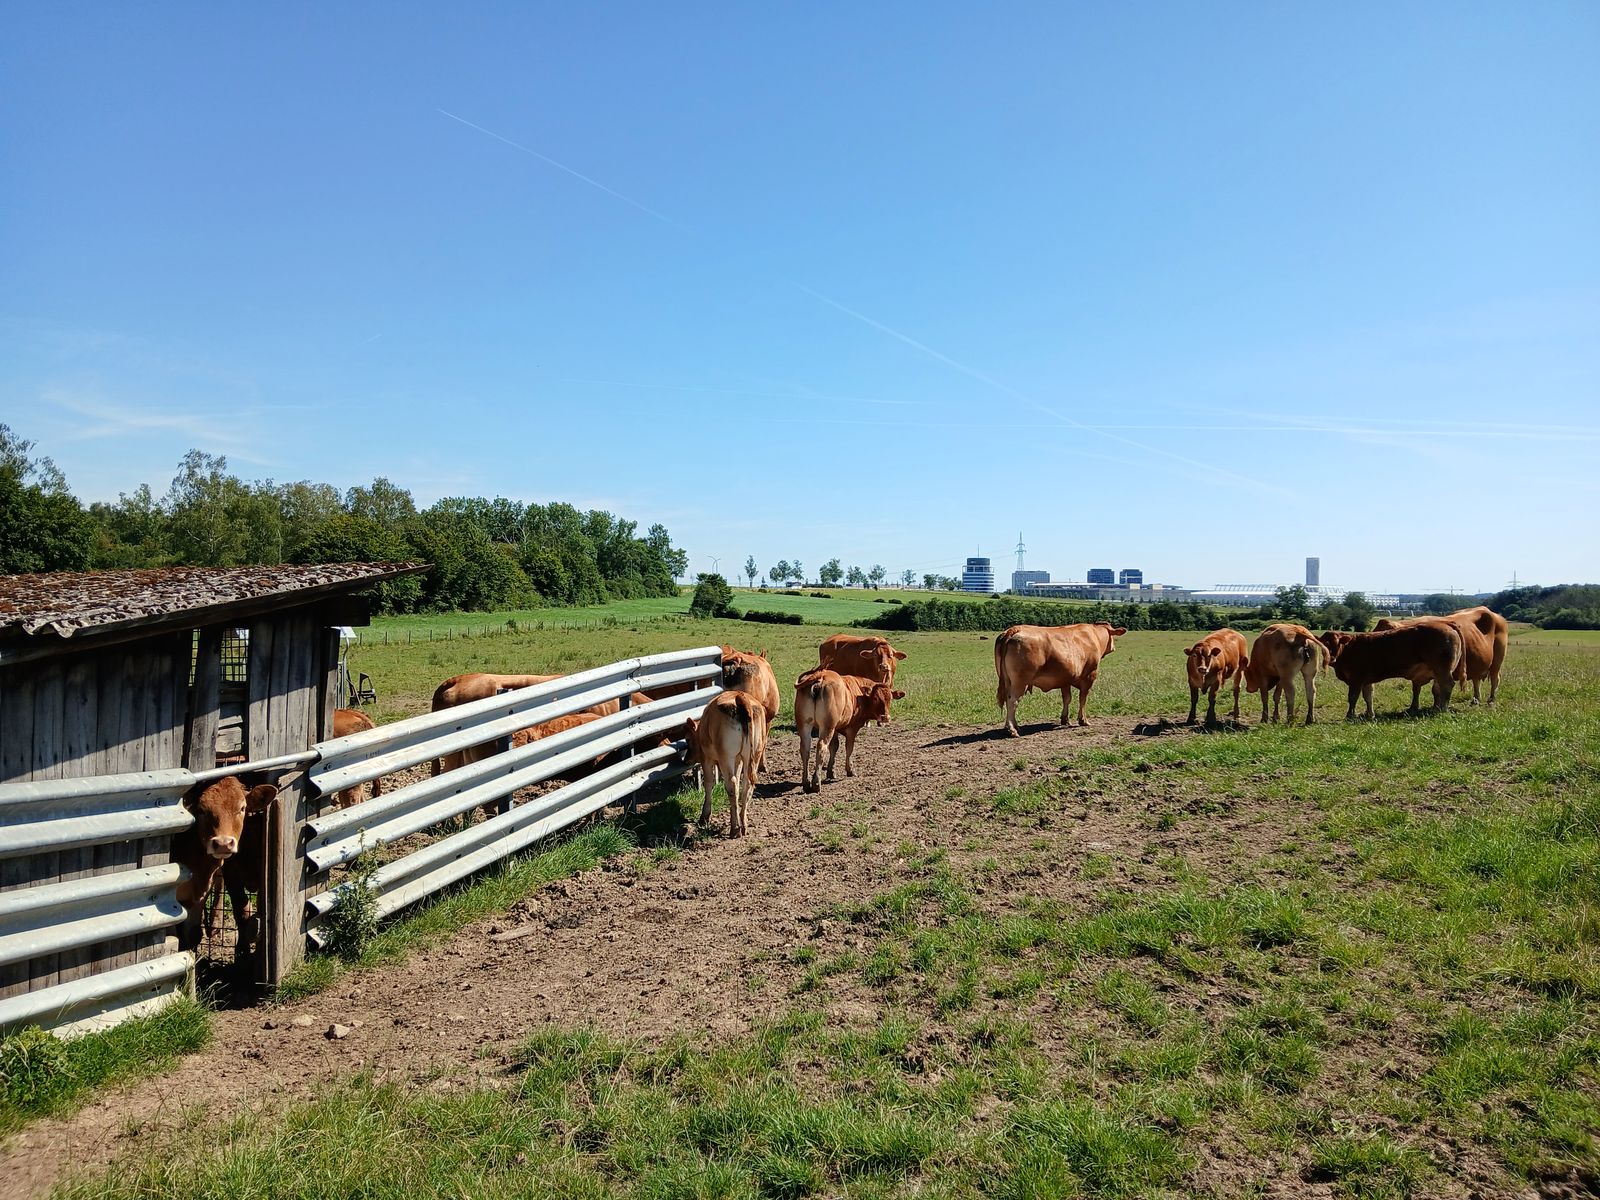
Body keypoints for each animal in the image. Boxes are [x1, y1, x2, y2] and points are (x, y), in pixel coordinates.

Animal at [681, 694, 768, 838]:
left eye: (688, 739)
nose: (685, 760)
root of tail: (740, 697)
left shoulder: (707, 759)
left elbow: (709, 784)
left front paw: (704, 816)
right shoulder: (738, 760)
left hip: (726, 757)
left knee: (731, 785)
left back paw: (735, 828)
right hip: (754, 754)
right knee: (746, 786)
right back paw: (743, 824)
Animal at [985, 624, 1126, 739]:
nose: (1113, 647)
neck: (1094, 635)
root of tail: (1014, 629)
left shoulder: (1065, 680)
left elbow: (1067, 699)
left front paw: (1065, 719)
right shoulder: (1089, 677)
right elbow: (1082, 699)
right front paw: (1083, 720)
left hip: (1007, 681)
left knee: (1007, 700)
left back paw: (1012, 726)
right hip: (1020, 682)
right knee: (1012, 701)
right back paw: (1012, 730)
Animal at [1324, 624, 1465, 720]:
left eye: (1336, 643)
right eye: (1324, 644)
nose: (1332, 658)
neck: (1349, 648)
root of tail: (1447, 625)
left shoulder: (1356, 680)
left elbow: (1352, 698)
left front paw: (1350, 715)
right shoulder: (1366, 681)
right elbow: (1368, 696)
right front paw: (1370, 714)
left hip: (1442, 670)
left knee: (1447, 685)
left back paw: (1443, 709)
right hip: (1438, 672)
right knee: (1439, 688)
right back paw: (1437, 708)